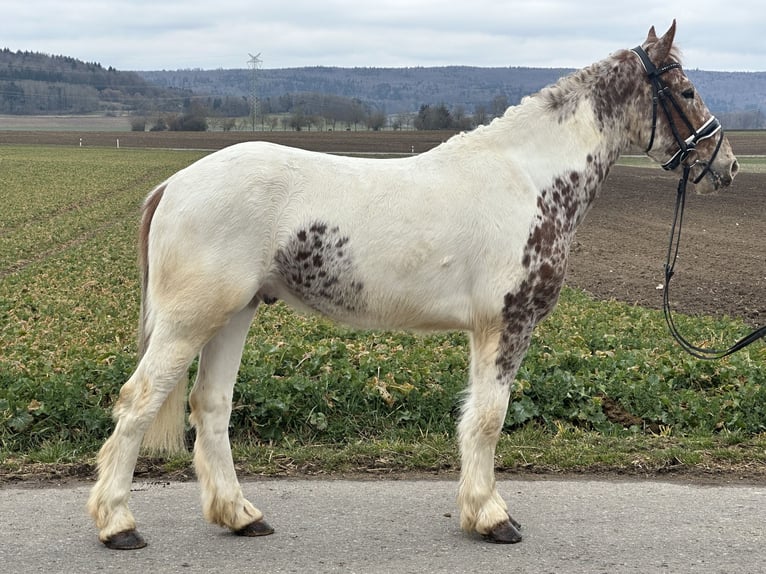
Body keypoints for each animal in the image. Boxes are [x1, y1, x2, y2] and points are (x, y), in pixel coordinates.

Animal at [87, 22, 740, 552]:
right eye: (685, 91)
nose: (727, 164)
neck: (527, 178)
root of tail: (174, 183)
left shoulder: (485, 331)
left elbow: (476, 417)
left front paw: (478, 511)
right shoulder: (507, 324)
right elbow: (489, 419)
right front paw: (492, 518)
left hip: (234, 314)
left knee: (211, 406)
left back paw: (241, 516)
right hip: (191, 320)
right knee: (140, 400)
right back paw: (118, 525)